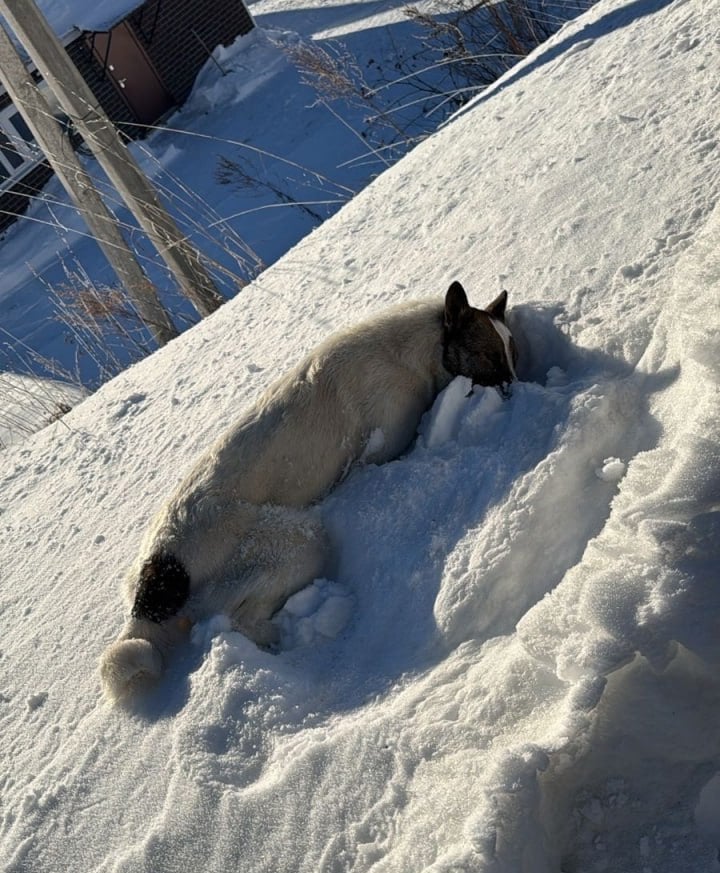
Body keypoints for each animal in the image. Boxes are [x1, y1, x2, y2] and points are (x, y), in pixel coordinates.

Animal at [101, 280, 516, 700]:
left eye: (512, 355)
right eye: (488, 356)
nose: (515, 392)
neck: (422, 348)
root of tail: (159, 571)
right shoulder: (379, 450)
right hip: (300, 543)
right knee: (240, 618)